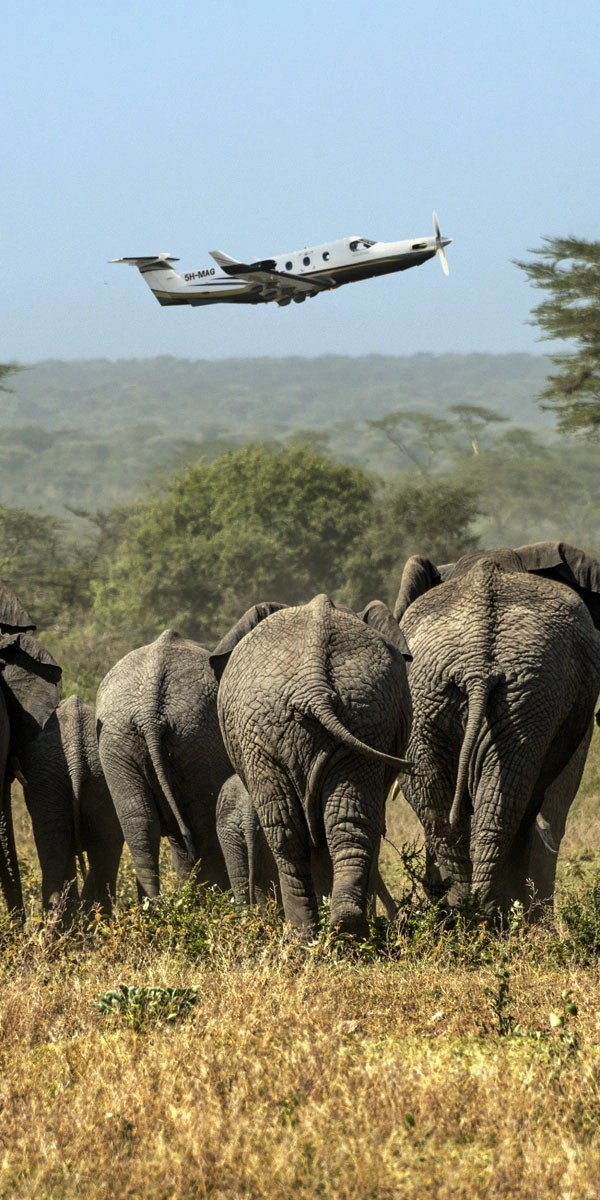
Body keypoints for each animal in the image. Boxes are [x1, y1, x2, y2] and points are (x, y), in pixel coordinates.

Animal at [95, 633, 231, 897]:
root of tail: (149, 712)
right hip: (199, 739)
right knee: (203, 827)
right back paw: (211, 899)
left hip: (118, 741)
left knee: (140, 823)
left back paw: (156, 904)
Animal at [211, 595, 412, 940]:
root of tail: (314, 684)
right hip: (359, 715)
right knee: (340, 822)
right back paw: (340, 929)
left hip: (306, 725)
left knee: (289, 831)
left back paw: (306, 935)